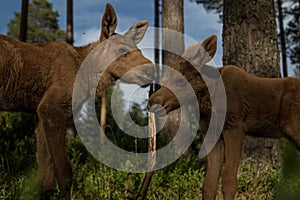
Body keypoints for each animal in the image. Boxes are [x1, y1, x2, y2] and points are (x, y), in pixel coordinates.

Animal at [148, 35, 300, 199]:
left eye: (181, 80)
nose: (152, 102)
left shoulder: (235, 127)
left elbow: (229, 180)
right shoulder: (212, 133)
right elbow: (209, 183)